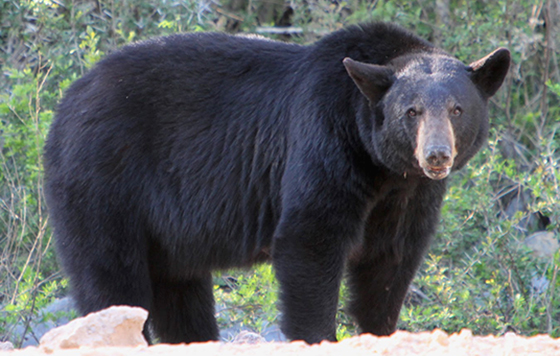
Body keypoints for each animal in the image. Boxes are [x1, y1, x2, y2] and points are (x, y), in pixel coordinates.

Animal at [42, 23, 508, 344]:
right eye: (412, 111)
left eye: (457, 109)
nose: (436, 155)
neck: (381, 167)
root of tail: (65, 101)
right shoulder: (323, 140)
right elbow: (310, 238)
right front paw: (319, 334)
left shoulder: (408, 196)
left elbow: (390, 262)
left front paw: (379, 329)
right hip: (102, 177)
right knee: (109, 275)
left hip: (167, 229)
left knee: (180, 291)